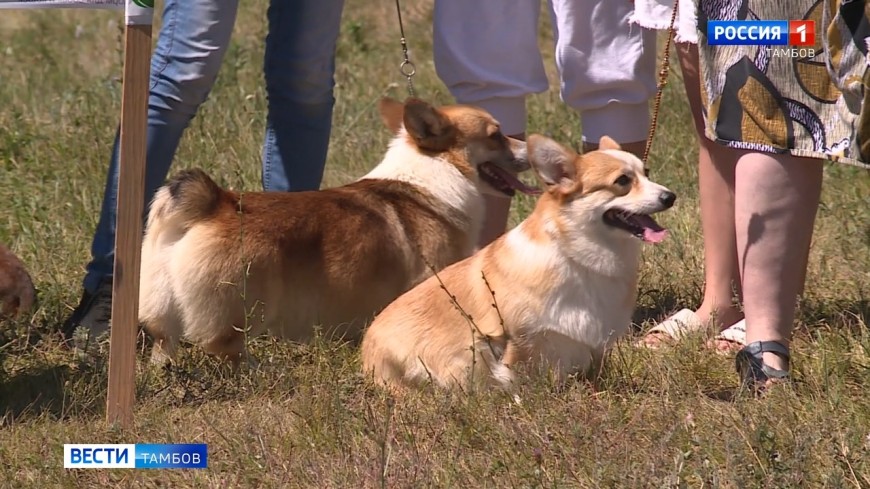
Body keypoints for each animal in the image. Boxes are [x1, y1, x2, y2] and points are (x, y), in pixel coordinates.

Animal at [140, 97, 536, 364]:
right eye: (496, 135)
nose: (534, 147)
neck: (438, 170)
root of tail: (214, 201)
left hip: (163, 308)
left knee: (164, 343)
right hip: (243, 309)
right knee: (223, 348)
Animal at [358, 135, 676, 390]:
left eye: (646, 173)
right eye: (623, 182)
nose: (670, 196)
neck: (579, 258)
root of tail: (366, 347)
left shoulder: (594, 342)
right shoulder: (517, 339)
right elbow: (518, 378)